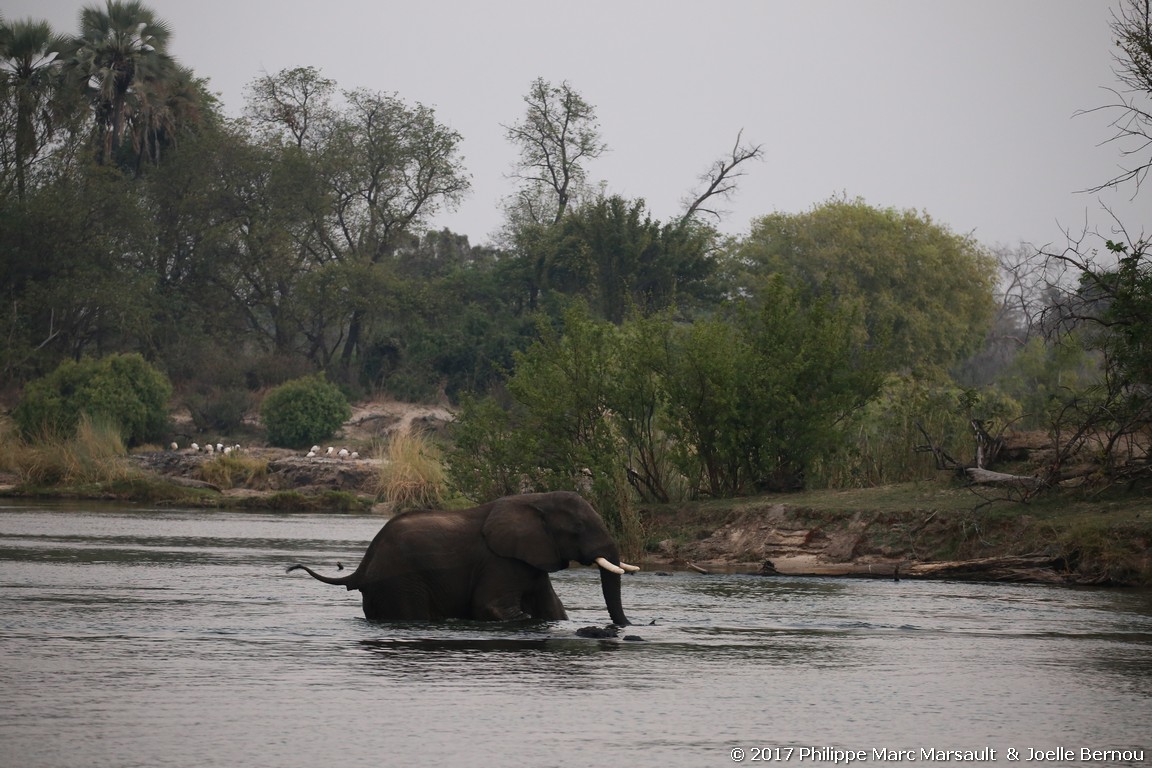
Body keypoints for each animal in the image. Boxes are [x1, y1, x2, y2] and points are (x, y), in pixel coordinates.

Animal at [283, 492, 635, 626]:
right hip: (401, 582)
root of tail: (361, 566)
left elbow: (553, 609)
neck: (535, 499)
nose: (628, 625)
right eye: (577, 530)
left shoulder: (531, 560)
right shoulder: (498, 562)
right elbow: (490, 608)